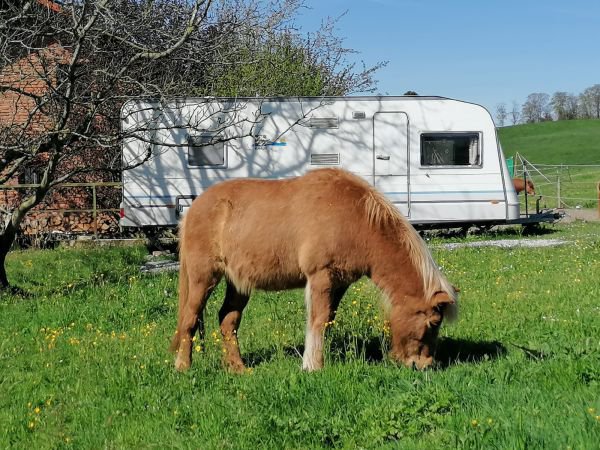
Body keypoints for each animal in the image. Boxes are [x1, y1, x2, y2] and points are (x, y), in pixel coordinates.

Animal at [170, 169, 460, 372]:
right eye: (433, 323)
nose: (423, 365)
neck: (356, 218)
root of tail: (193, 209)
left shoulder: (340, 283)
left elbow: (328, 320)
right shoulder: (321, 277)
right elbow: (318, 321)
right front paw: (312, 366)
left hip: (239, 283)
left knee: (227, 321)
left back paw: (238, 369)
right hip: (203, 277)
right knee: (189, 319)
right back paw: (183, 367)